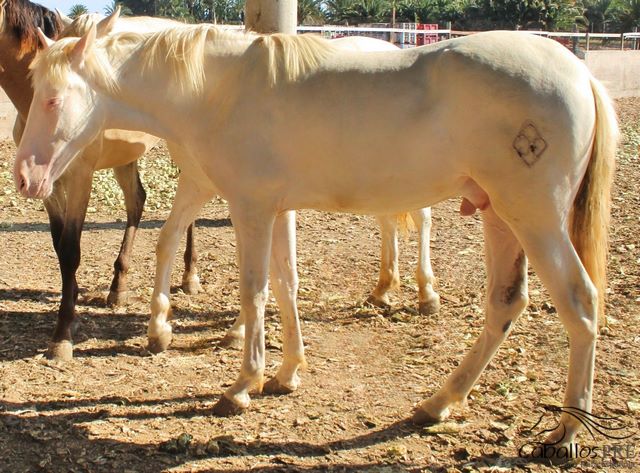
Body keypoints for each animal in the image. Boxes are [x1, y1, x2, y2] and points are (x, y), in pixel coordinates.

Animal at [0, 0, 200, 360]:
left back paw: (189, 277)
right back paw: (118, 289)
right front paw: (74, 304)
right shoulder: (47, 187)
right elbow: (59, 245)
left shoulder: (80, 177)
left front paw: (63, 334)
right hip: (126, 159)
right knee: (137, 200)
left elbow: (70, 248)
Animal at [15, 22, 616, 454]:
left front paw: (243, 385)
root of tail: (581, 74)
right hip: (498, 215)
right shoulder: (277, 209)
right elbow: (286, 285)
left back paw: (566, 432)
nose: (24, 177)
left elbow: (254, 291)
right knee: (505, 304)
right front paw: (287, 373)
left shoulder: (251, 208)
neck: (217, 91)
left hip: (533, 217)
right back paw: (438, 402)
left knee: (580, 303)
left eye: (52, 99)